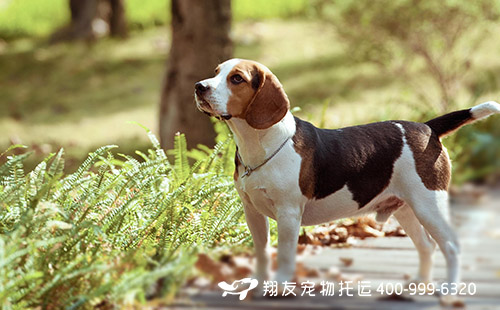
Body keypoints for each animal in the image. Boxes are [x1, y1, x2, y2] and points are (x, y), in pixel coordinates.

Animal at [194, 57, 500, 302]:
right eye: (216, 72)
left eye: (237, 78)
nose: (199, 86)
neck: (262, 144)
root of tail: (427, 127)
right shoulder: (252, 213)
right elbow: (261, 252)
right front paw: (258, 285)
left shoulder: (288, 214)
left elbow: (284, 253)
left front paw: (279, 287)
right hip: (406, 208)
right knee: (427, 246)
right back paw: (417, 285)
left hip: (429, 204)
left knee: (451, 246)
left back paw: (448, 291)